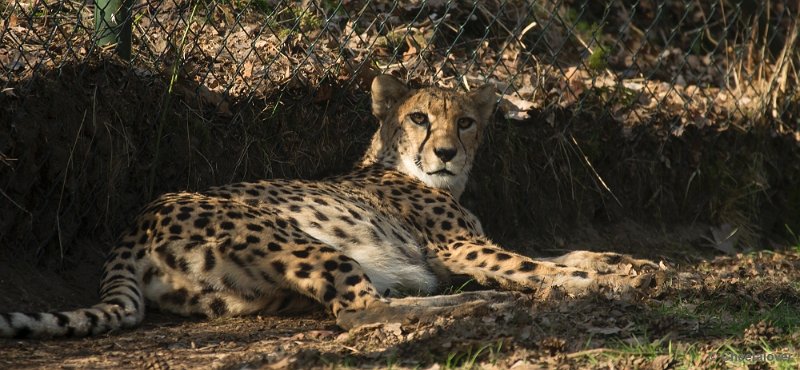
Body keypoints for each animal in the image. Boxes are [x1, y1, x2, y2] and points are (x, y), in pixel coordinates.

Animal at [0, 74, 656, 338]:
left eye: (466, 123)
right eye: (419, 118)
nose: (445, 151)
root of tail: (134, 224)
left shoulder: (471, 243)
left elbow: (567, 251)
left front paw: (634, 264)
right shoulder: (458, 247)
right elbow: (534, 264)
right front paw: (602, 281)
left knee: (358, 305)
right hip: (294, 236)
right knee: (357, 310)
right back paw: (475, 305)